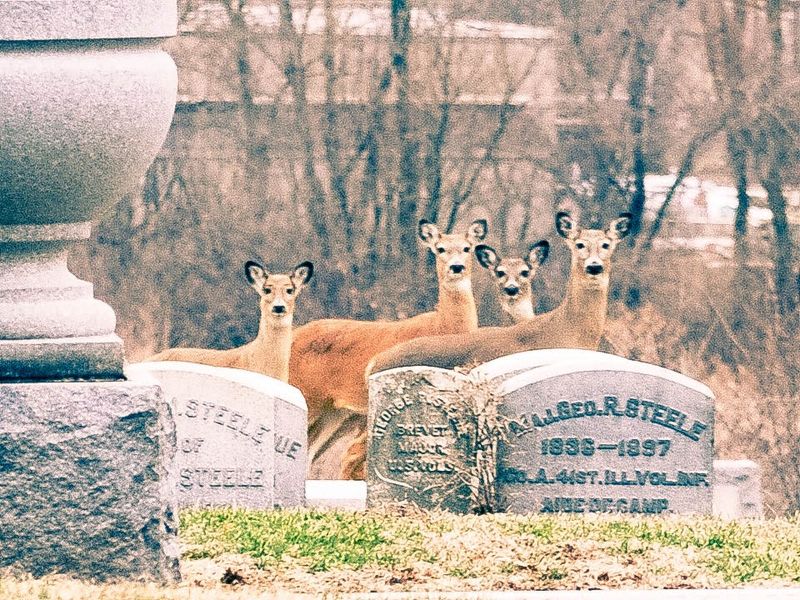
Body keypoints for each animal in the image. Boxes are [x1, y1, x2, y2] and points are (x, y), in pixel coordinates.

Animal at [290, 218, 488, 479]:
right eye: (440, 249)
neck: (443, 326)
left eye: (467, 248)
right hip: (306, 394)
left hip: (335, 413)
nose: (456, 267)